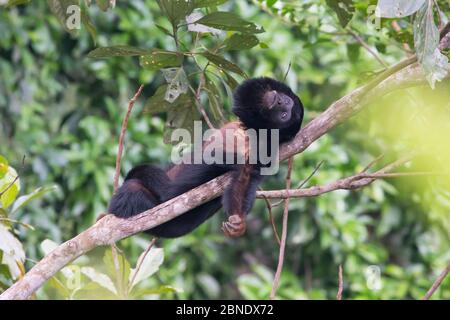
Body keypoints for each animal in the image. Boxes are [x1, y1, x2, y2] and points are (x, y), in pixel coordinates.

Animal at [108, 77, 304, 238]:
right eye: (285, 102)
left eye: (284, 114)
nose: (279, 101)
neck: (254, 130)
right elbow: (246, 90)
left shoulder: (266, 148)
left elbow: (245, 176)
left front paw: (238, 219)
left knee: (136, 189)